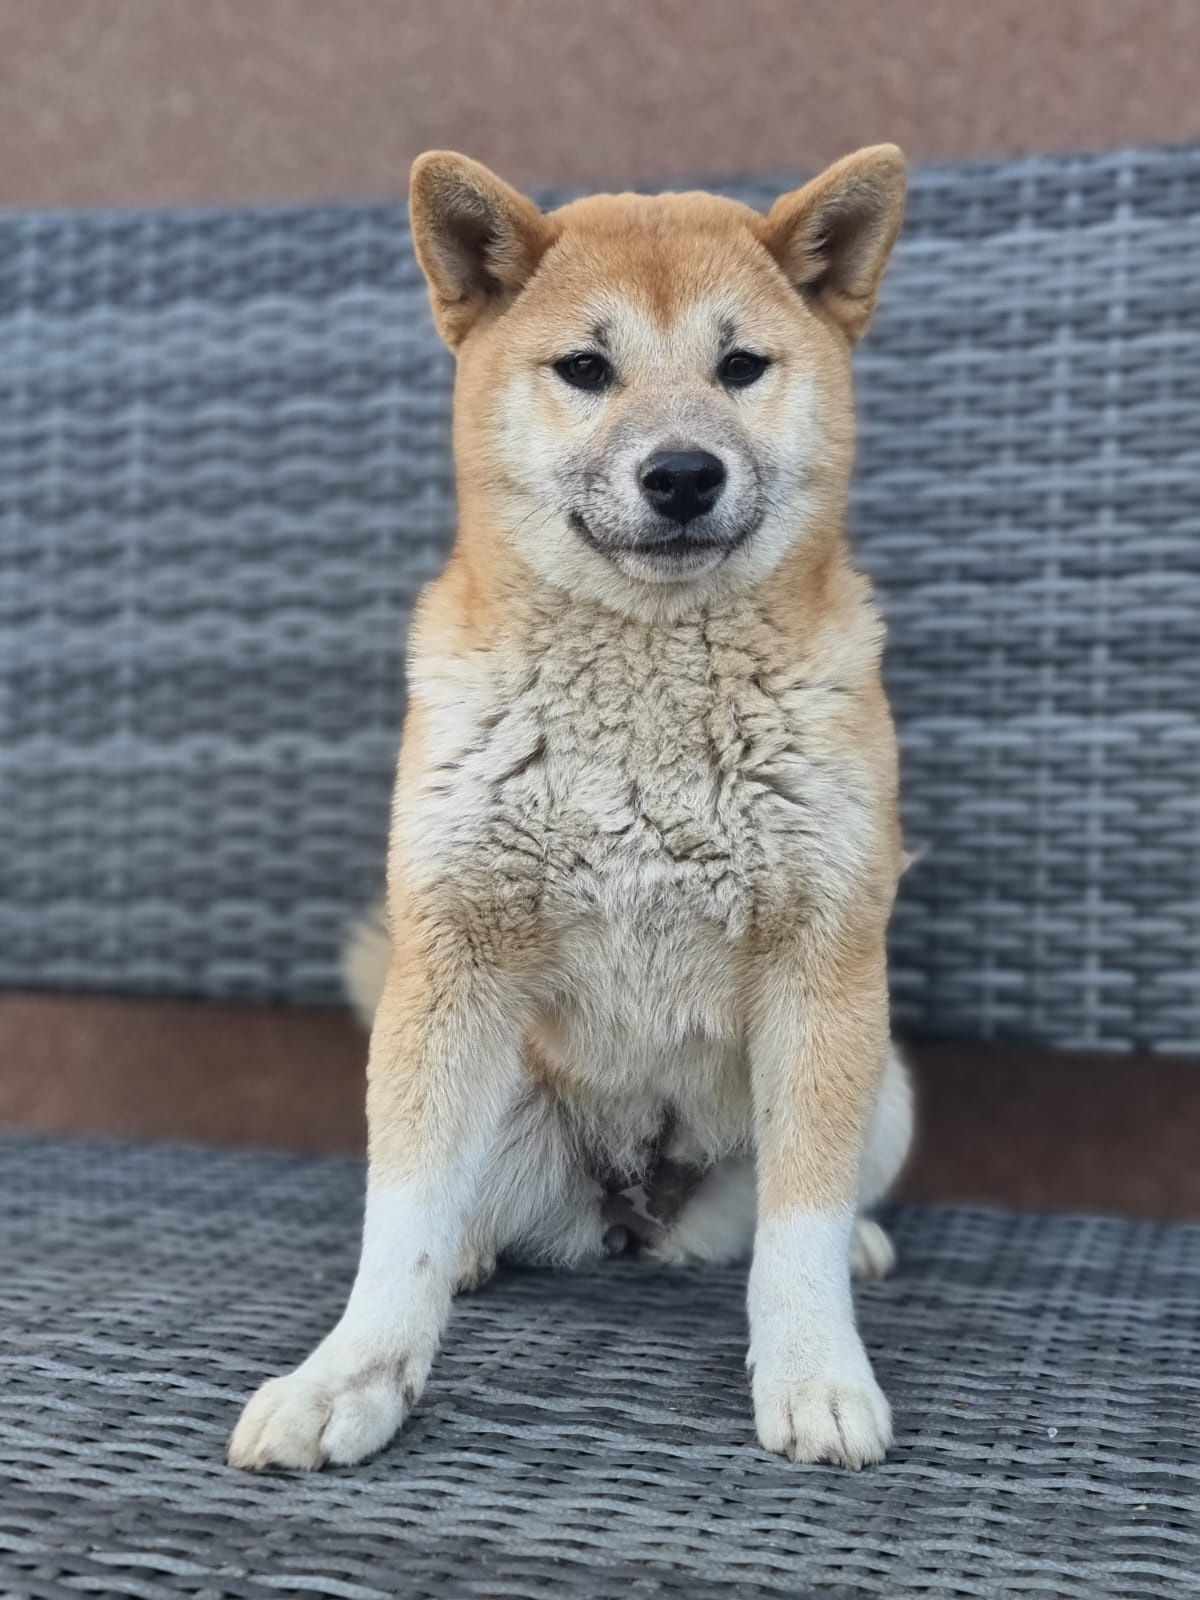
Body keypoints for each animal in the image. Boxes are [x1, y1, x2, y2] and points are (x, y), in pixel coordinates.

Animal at [230, 144, 915, 1465]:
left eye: (740, 366)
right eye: (588, 369)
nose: (684, 473)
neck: (643, 708)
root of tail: (630, 1212)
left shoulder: (825, 959)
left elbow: (798, 1229)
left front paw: (814, 1370)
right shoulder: (454, 947)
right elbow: (399, 1228)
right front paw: (351, 1377)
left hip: (887, 1086)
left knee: (795, 1213)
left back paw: (858, 1241)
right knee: (449, 1205)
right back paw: (473, 1255)